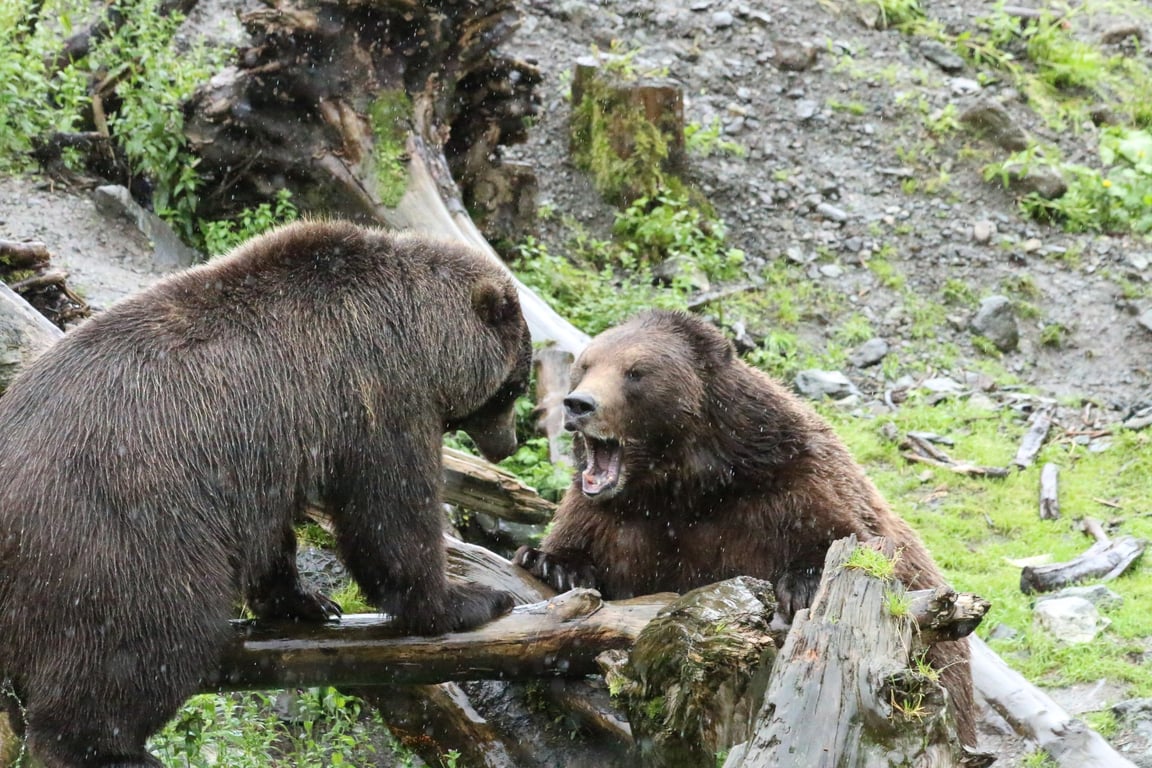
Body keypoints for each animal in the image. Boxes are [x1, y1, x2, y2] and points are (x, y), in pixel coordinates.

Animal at [0, 220, 532, 767]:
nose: (507, 445)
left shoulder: (270, 458)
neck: (424, 338)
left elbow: (277, 538)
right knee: (147, 638)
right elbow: (391, 514)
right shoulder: (378, 397)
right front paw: (471, 599)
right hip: (122, 531)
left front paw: (308, 601)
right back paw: (111, 749)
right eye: (515, 387)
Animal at [514, 308, 977, 748]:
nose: (578, 404)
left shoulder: (787, 490)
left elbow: (849, 544)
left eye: (636, 372)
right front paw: (552, 563)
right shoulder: (620, 518)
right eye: (587, 363)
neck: (687, 486)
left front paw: (804, 586)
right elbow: (580, 541)